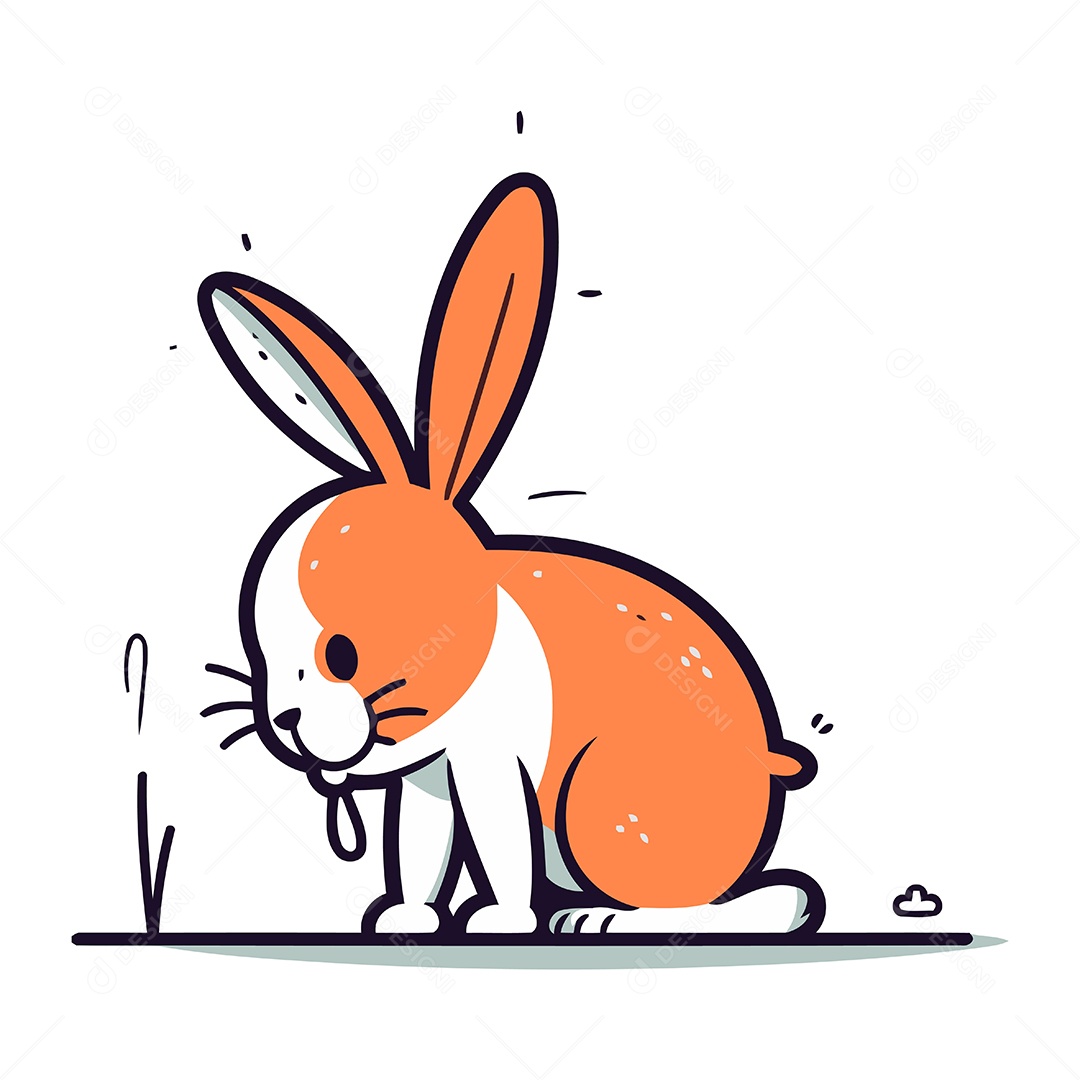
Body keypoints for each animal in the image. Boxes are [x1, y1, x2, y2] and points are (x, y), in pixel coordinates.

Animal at [198, 172, 825, 936]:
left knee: (762, 901)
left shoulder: (489, 761)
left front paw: (499, 921)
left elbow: (498, 840)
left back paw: (602, 924)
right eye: (261, 655)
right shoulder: (429, 782)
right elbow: (419, 845)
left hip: (604, 804)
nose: (284, 722)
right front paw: (409, 917)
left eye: (341, 655)